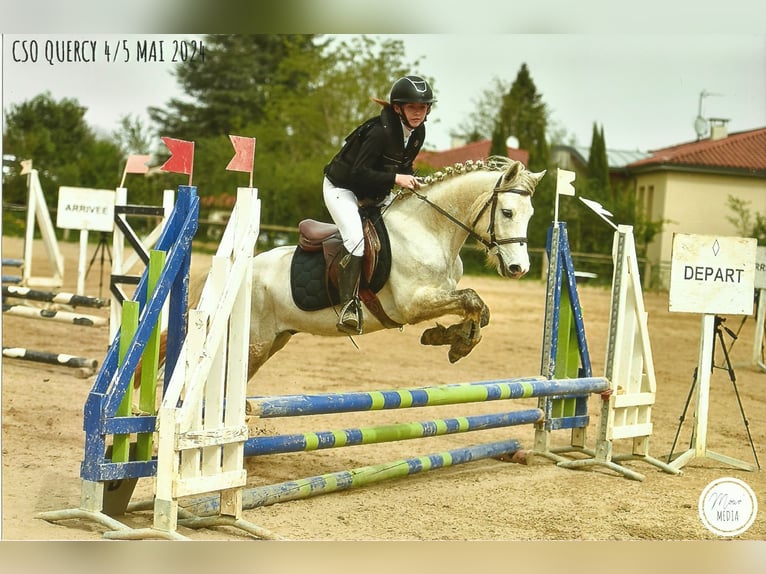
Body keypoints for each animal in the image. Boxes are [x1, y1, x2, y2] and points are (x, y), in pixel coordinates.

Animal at [243, 160, 544, 380]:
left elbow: (479, 309)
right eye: (507, 212)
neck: (428, 229)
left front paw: (449, 338)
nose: (519, 268)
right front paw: (457, 342)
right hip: (256, 344)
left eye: (530, 215)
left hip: (277, 339)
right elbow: (472, 300)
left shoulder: (442, 293)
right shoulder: (413, 304)